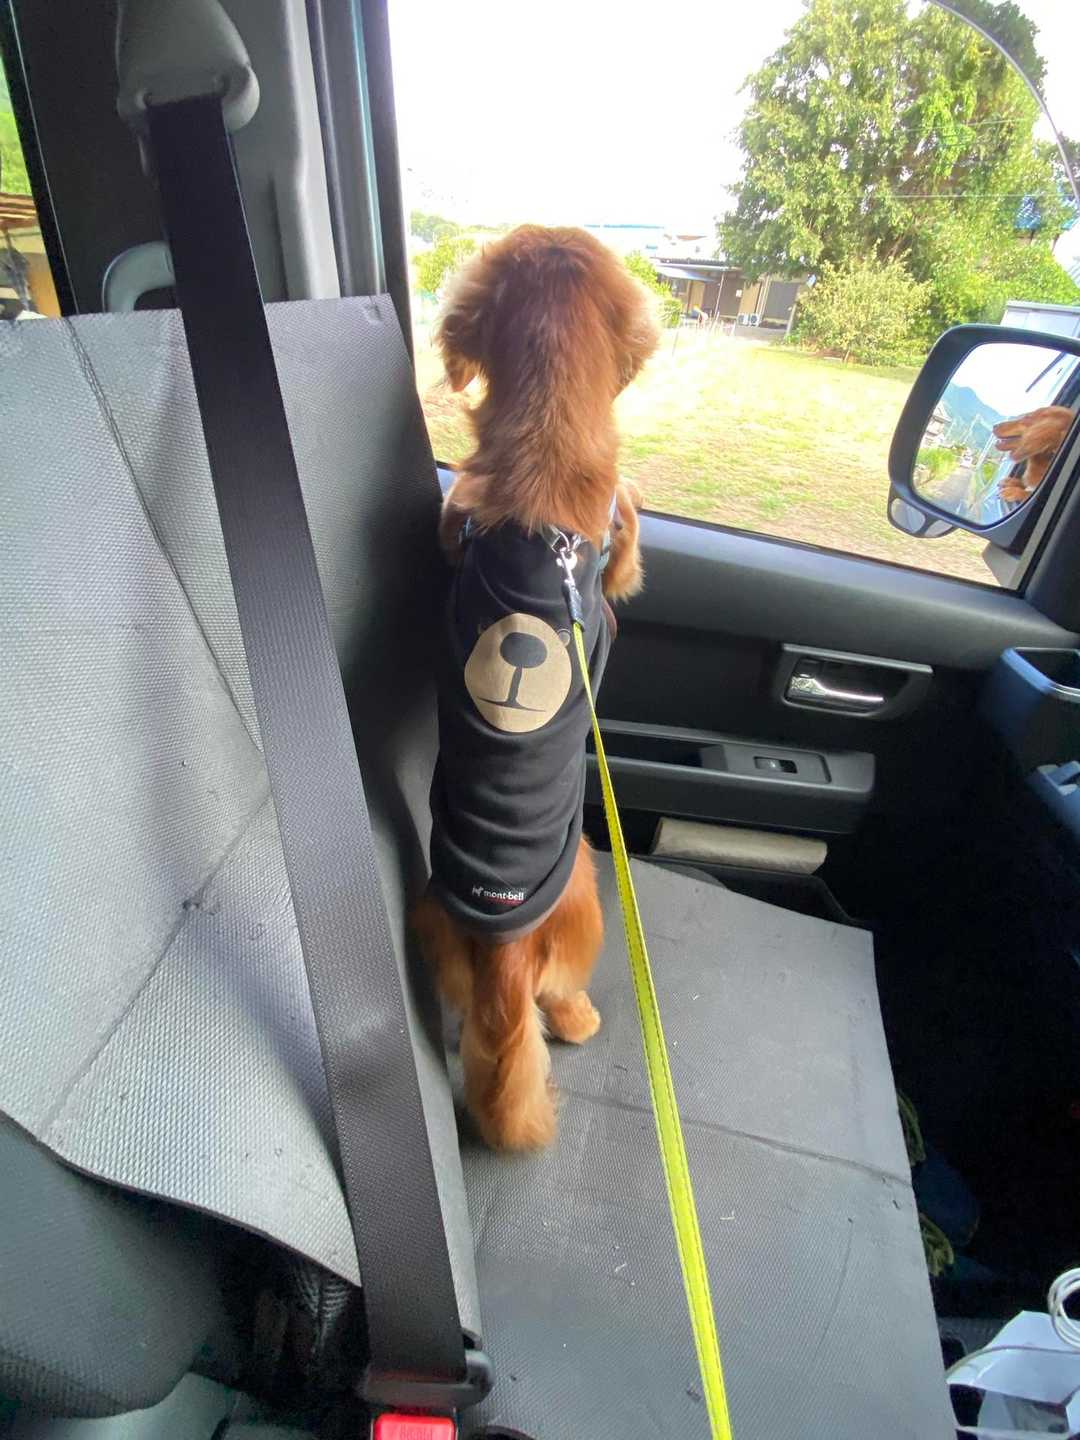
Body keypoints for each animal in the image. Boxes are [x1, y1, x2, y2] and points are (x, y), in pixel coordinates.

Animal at [413, 226, 658, 1150]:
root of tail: (506, 945)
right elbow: (631, 537)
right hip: (589, 887)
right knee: (562, 998)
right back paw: (581, 1018)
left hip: (432, 921)